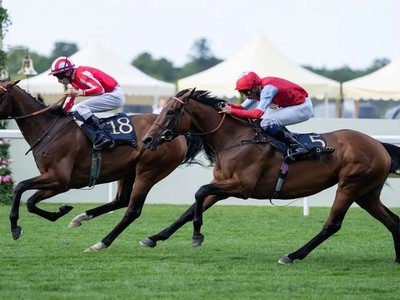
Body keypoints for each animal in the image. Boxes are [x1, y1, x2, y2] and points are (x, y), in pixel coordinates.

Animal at [0, 81, 203, 252]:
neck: (48, 129)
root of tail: (180, 135)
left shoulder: (60, 180)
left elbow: (21, 188)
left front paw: (15, 228)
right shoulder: (55, 181)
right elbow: (30, 201)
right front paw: (61, 211)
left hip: (149, 172)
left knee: (132, 210)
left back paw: (101, 243)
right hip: (127, 171)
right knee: (121, 200)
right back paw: (81, 218)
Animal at [143, 88, 400, 264]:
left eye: (171, 112)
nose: (147, 139)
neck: (235, 139)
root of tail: (378, 145)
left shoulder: (241, 187)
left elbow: (199, 192)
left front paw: (197, 236)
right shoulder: (222, 185)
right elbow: (189, 209)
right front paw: (154, 237)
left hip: (350, 186)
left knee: (332, 225)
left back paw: (293, 255)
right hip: (366, 193)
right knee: (392, 221)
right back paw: (397, 259)